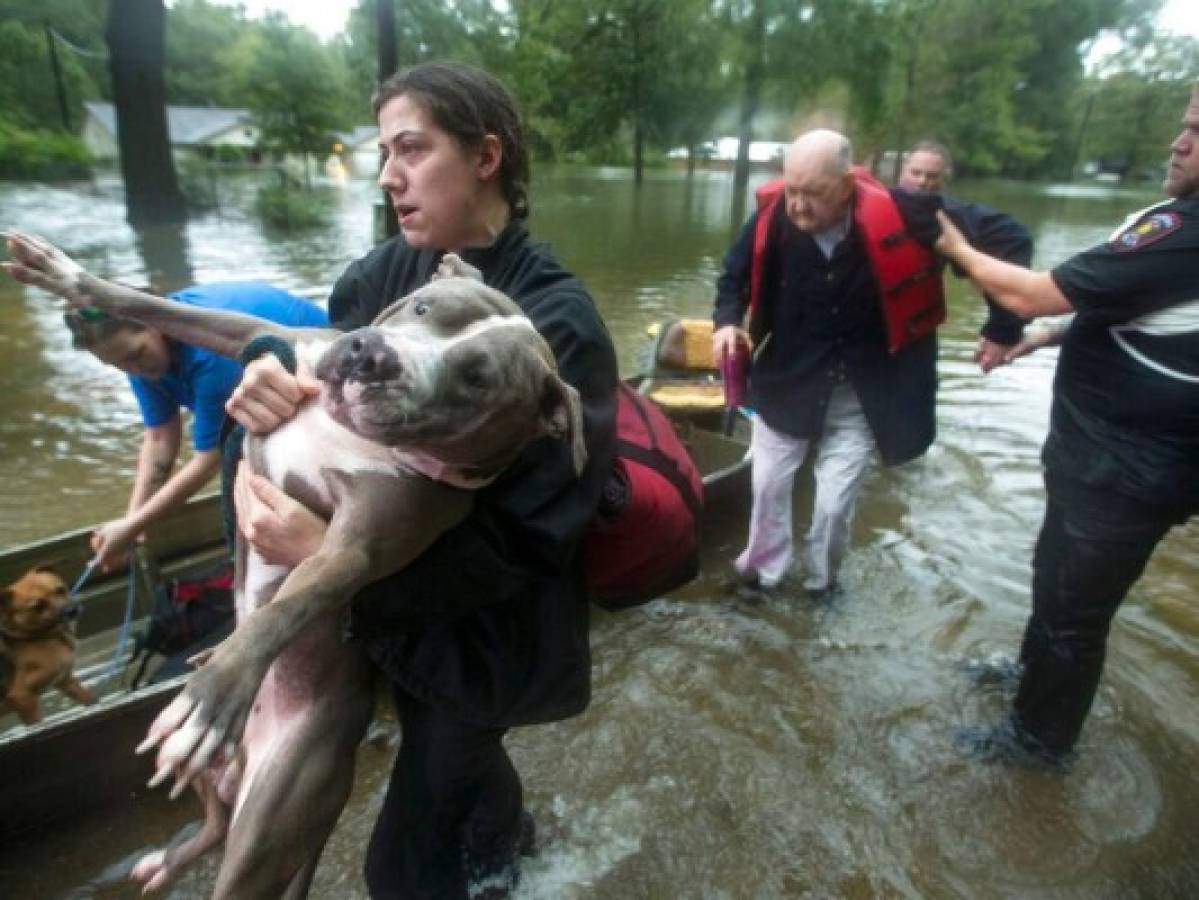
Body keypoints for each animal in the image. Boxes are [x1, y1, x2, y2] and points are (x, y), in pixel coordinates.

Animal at [1, 563, 95, 723]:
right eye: (37, 606)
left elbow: (90, 699)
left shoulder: (66, 681)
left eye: (60, 590)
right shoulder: (21, 697)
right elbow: (38, 724)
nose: (72, 611)